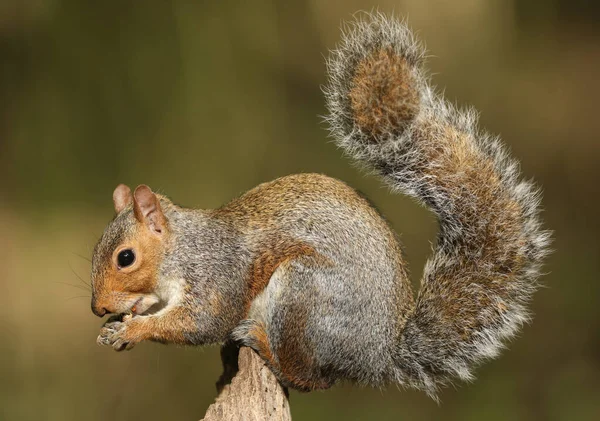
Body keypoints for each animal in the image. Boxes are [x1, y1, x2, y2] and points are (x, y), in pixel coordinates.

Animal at [90, 11, 548, 396]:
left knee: (309, 378)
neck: (180, 250)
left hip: (303, 298)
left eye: (125, 258)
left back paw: (262, 344)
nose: (98, 308)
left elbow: (200, 323)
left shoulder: (214, 278)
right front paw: (120, 323)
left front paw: (131, 331)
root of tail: (377, 357)